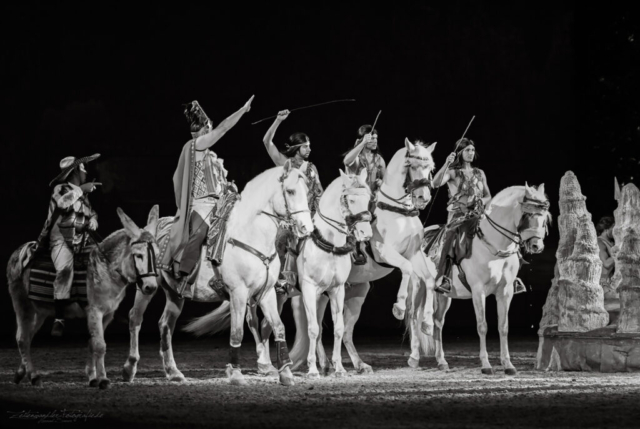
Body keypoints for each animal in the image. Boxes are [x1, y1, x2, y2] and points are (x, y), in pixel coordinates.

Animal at [122, 162, 312, 386]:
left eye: (306, 190)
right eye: (290, 191)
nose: (307, 227)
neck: (249, 236)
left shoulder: (267, 293)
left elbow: (278, 326)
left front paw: (285, 373)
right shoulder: (239, 293)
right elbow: (237, 331)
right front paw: (236, 374)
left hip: (175, 294)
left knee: (165, 325)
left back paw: (174, 371)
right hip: (147, 287)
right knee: (135, 318)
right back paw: (129, 368)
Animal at [288, 140, 438, 372]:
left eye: (430, 167)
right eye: (412, 165)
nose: (423, 197)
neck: (397, 212)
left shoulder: (414, 253)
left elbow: (429, 279)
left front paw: (428, 323)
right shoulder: (384, 252)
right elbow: (406, 268)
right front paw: (399, 306)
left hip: (349, 293)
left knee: (342, 330)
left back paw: (354, 363)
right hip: (317, 291)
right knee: (317, 326)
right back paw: (325, 363)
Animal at [412, 182, 552, 372]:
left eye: (544, 216)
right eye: (528, 214)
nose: (537, 246)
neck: (494, 247)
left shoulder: (505, 291)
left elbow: (503, 326)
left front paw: (508, 364)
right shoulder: (479, 291)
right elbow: (482, 326)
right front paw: (486, 365)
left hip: (443, 295)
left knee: (438, 322)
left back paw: (441, 361)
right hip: (418, 287)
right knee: (414, 318)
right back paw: (413, 358)